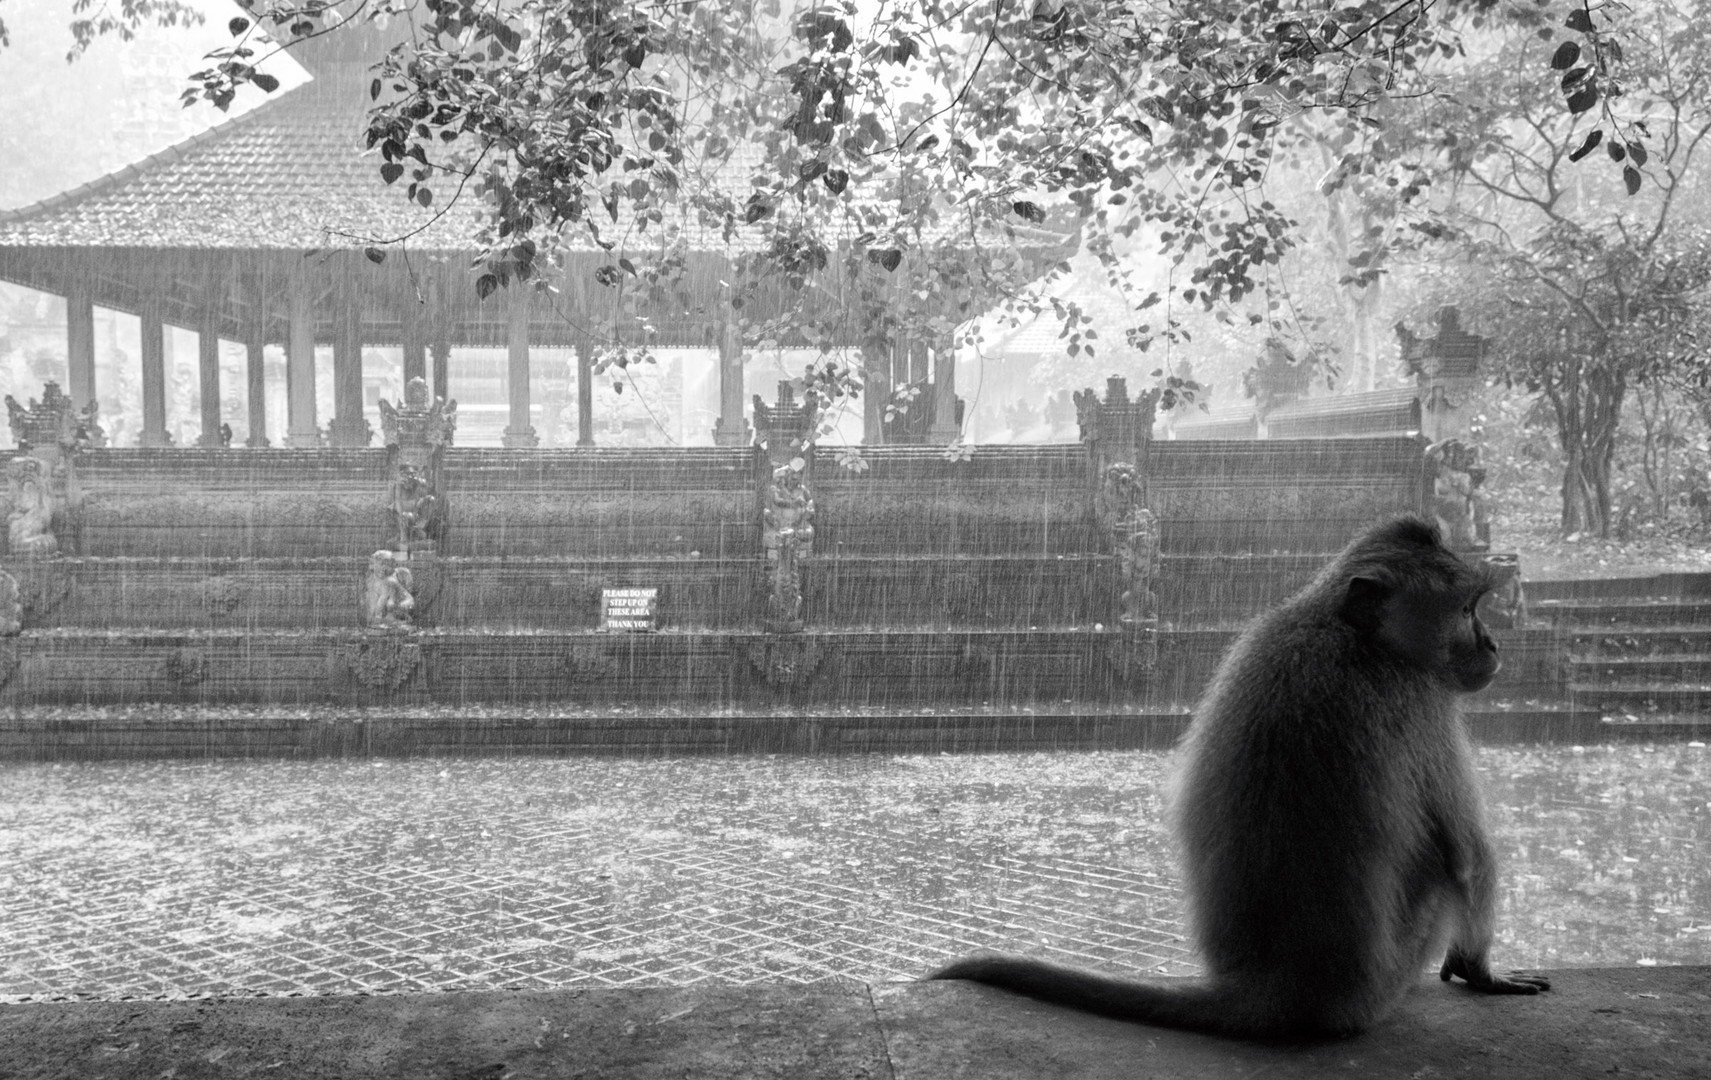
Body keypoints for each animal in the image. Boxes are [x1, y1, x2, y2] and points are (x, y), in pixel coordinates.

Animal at [923, 516, 1553, 1040]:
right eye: (1467, 610)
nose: (1494, 643)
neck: (1345, 630)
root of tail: (1279, 988)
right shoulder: (1423, 704)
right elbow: (1469, 856)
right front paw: (1480, 970)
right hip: (1391, 970)